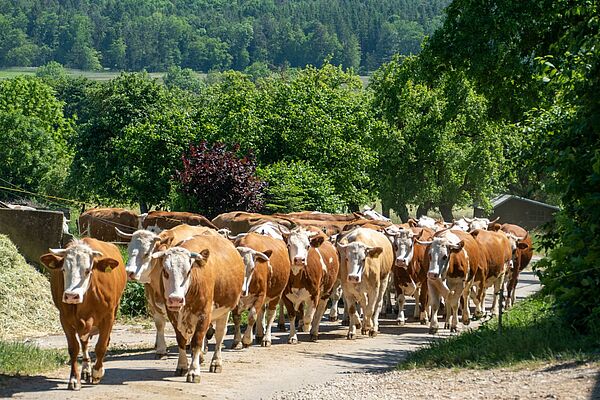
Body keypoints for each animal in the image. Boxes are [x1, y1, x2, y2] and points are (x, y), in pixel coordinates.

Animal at [39, 239, 127, 390]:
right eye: (64, 269)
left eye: (87, 270)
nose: (71, 296)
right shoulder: (65, 318)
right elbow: (74, 348)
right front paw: (74, 378)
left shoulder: (108, 316)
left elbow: (101, 346)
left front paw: (97, 372)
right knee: (84, 343)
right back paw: (86, 369)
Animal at [115, 223, 216, 358]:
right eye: (129, 250)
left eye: (146, 253)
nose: (129, 272)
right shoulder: (151, 298)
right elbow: (159, 323)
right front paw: (161, 349)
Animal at [151, 236, 243, 382]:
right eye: (165, 272)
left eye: (188, 272)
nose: (175, 299)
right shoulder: (173, 314)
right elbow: (181, 341)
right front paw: (182, 366)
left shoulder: (204, 315)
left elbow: (196, 342)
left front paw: (194, 371)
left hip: (225, 310)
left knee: (219, 335)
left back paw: (216, 362)